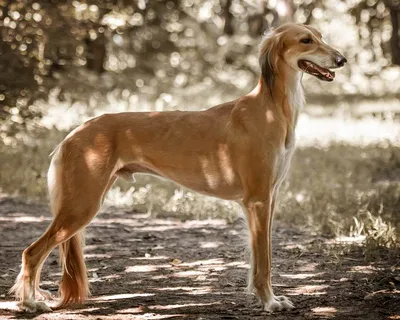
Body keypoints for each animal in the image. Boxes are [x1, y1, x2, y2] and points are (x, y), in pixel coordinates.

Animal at [10, 23, 346, 314]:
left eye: (320, 36)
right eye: (306, 40)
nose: (342, 59)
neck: (271, 108)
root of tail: (74, 133)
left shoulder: (268, 199)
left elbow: (262, 258)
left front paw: (265, 297)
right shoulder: (258, 200)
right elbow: (263, 261)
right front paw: (270, 302)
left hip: (83, 201)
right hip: (82, 205)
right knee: (32, 252)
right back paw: (30, 303)